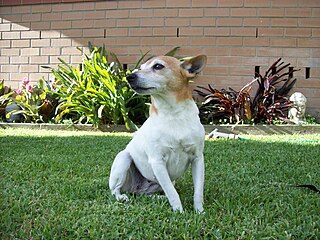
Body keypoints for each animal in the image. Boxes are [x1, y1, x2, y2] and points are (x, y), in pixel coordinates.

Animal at [109, 54, 206, 212]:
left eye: (158, 66)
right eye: (141, 68)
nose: (129, 76)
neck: (173, 115)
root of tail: (136, 189)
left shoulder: (197, 159)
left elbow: (198, 191)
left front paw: (199, 211)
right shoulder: (157, 162)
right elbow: (173, 194)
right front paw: (179, 212)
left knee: (150, 194)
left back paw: (159, 198)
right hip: (124, 158)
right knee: (115, 190)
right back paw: (122, 197)